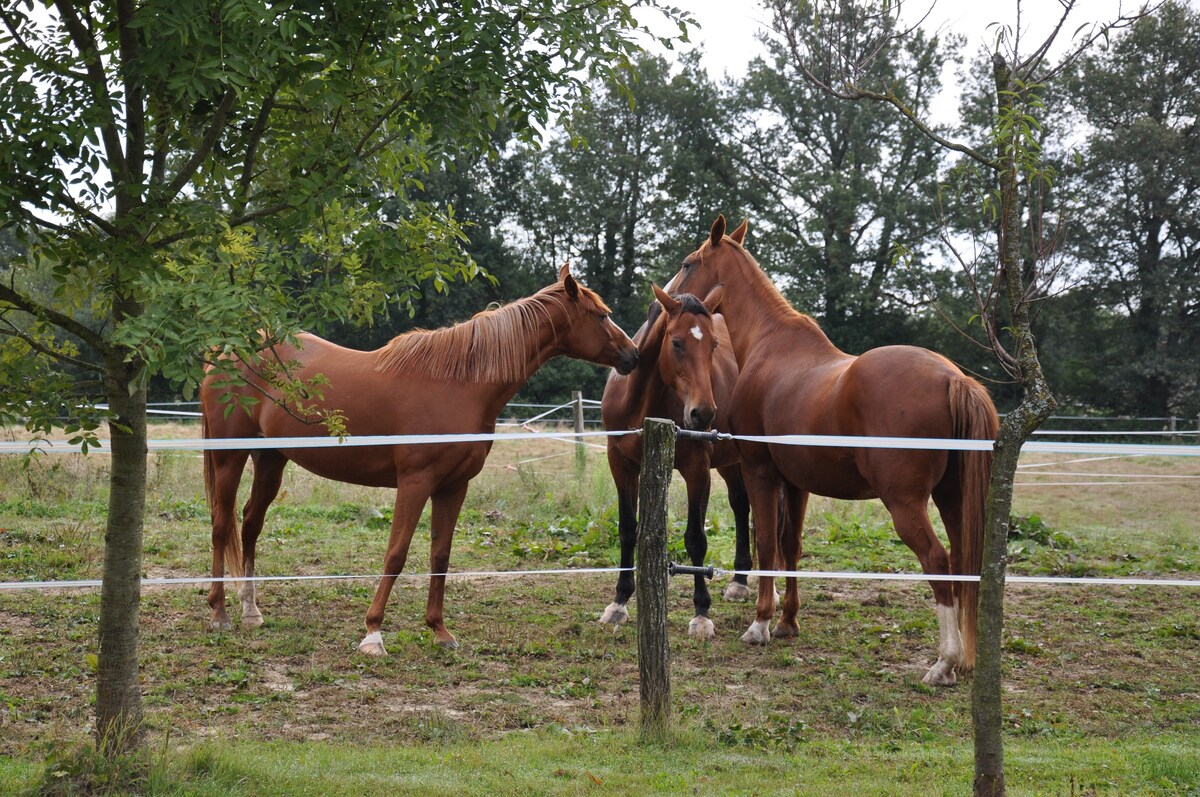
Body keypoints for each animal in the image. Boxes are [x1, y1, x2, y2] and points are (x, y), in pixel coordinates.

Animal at [201, 264, 643, 657]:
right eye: (601, 315)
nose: (633, 355)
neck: (458, 384)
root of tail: (225, 352)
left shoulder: (453, 486)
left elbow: (440, 555)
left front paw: (439, 631)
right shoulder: (415, 483)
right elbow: (396, 553)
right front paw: (373, 633)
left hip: (270, 459)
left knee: (250, 524)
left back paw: (251, 610)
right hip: (230, 456)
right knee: (222, 525)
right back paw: (220, 613)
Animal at [600, 284, 758, 643]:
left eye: (713, 345)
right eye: (676, 343)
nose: (703, 413)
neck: (641, 403)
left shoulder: (697, 470)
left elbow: (695, 539)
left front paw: (701, 613)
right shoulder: (621, 465)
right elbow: (628, 529)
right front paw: (619, 601)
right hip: (732, 464)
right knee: (740, 505)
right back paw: (739, 581)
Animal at [667, 216, 993, 686]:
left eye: (689, 263)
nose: (669, 300)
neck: (770, 344)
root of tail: (954, 378)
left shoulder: (760, 471)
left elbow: (766, 541)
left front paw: (760, 624)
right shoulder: (796, 482)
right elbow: (791, 545)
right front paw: (787, 622)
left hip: (905, 502)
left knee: (938, 560)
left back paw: (944, 663)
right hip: (952, 497)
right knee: (964, 561)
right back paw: (962, 658)